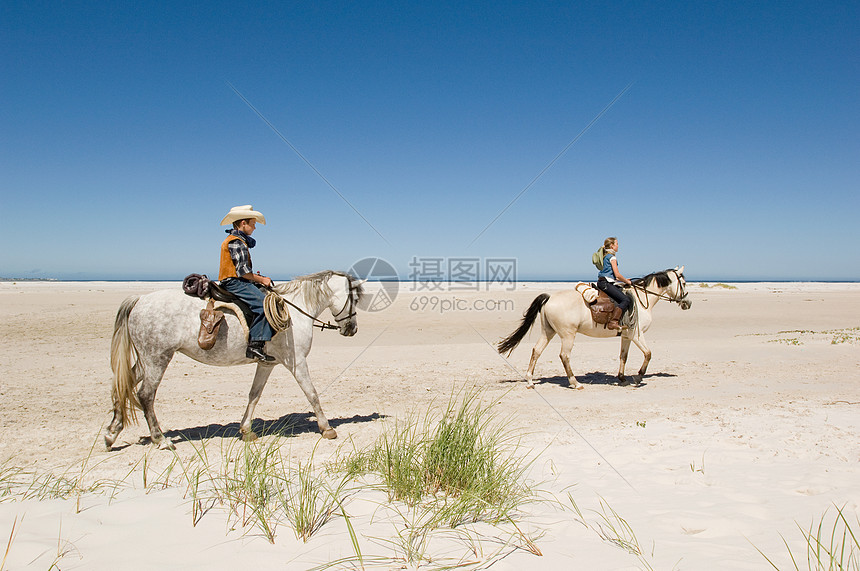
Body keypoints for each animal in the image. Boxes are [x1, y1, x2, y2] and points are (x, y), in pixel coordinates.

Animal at [498, 268, 692, 388]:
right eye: (683, 282)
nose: (688, 303)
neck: (641, 300)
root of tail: (550, 297)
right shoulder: (637, 335)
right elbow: (648, 354)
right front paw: (638, 377)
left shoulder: (626, 336)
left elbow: (623, 356)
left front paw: (622, 379)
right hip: (568, 335)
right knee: (564, 356)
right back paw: (575, 383)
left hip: (548, 332)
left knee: (536, 351)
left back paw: (530, 381)